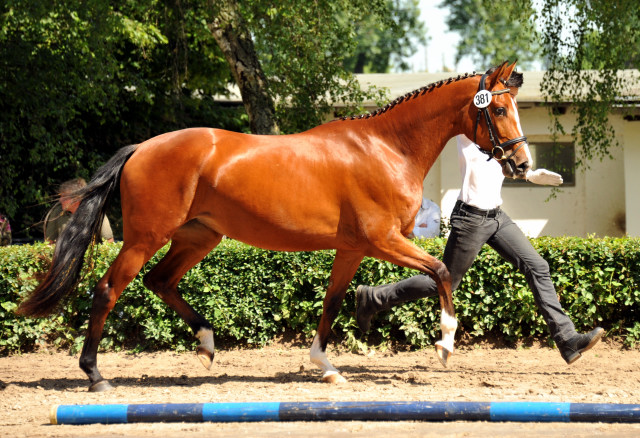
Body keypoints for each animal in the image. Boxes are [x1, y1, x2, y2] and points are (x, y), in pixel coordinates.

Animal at [17, 60, 532, 390]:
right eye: (498, 109)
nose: (522, 164)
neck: (387, 148)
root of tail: (141, 147)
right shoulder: (384, 240)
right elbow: (441, 271)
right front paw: (445, 343)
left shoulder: (353, 248)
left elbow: (333, 301)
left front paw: (326, 366)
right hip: (145, 238)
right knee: (108, 290)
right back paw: (95, 375)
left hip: (200, 236)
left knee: (160, 281)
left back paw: (207, 344)